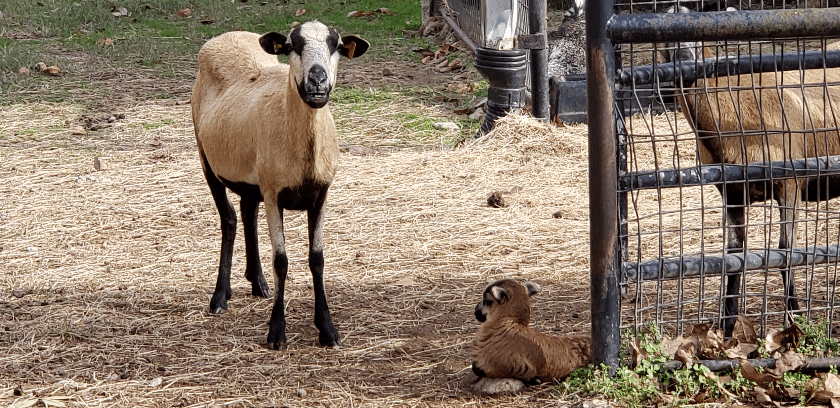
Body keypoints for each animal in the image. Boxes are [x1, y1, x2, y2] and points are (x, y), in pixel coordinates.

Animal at [191, 21, 369, 349]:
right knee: (229, 219)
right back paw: (220, 297)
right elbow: (281, 261)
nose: (317, 79)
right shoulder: (274, 194)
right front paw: (276, 332)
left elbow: (317, 259)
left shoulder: (320, 194)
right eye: (291, 46)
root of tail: (227, 35)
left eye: (336, 46)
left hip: (252, 176)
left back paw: (258, 283)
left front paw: (328, 330)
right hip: (205, 155)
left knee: (247, 211)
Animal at [662, 6, 840, 336]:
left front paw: (795, 321)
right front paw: (727, 327)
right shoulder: (731, 192)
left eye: (698, 38)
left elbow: (785, 252)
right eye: (664, 43)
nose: (685, 65)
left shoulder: (790, 182)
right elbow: (734, 256)